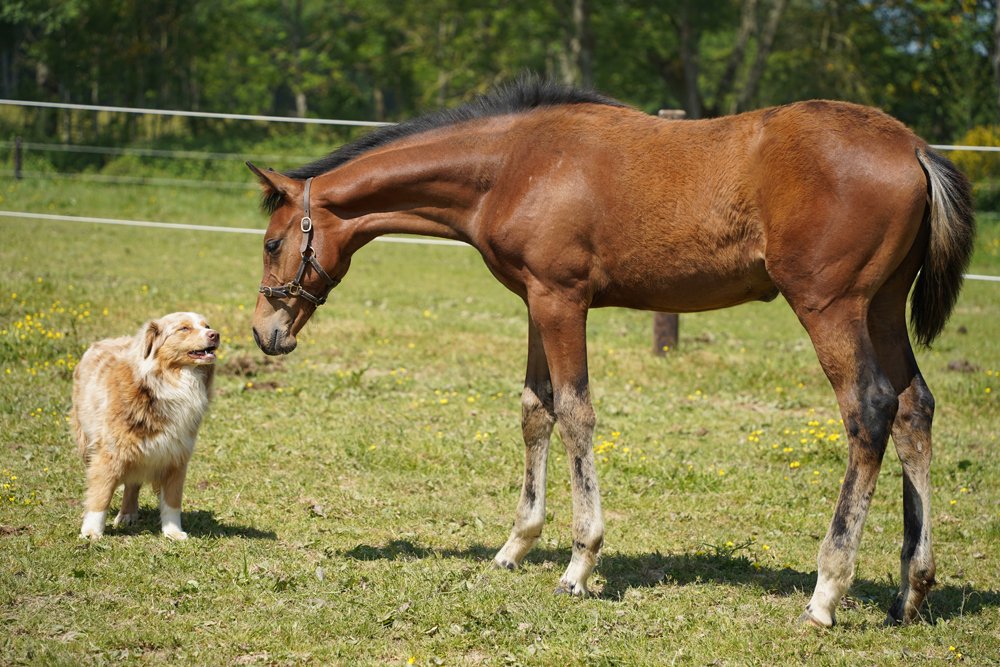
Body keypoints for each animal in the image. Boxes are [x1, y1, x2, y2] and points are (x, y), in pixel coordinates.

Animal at [71, 312, 219, 540]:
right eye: (184, 328)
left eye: (207, 326)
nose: (215, 334)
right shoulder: (109, 453)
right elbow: (100, 493)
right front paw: (91, 532)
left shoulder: (177, 456)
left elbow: (172, 501)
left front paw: (173, 532)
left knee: (133, 484)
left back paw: (128, 513)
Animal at [248, 77, 974, 627]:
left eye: (272, 241)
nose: (264, 333)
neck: (512, 165)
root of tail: (914, 148)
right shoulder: (536, 300)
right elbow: (535, 409)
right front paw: (515, 546)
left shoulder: (562, 299)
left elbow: (575, 412)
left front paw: (578, 563)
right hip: (882, 306)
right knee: (914, 408)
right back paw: (911, 589)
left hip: (830, 305)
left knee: (868, 411)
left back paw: (826, 594)